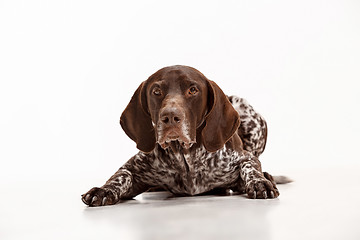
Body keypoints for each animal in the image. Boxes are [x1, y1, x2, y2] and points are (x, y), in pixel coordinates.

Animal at [81, 65, 286, 206]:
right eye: (156, 91)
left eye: (193, 90)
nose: (170, 117)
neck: (185, 157)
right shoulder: (133, 168)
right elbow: (120, 176)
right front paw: (103, 190)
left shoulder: (245, 158)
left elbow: (250, 168)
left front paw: (259, 182)